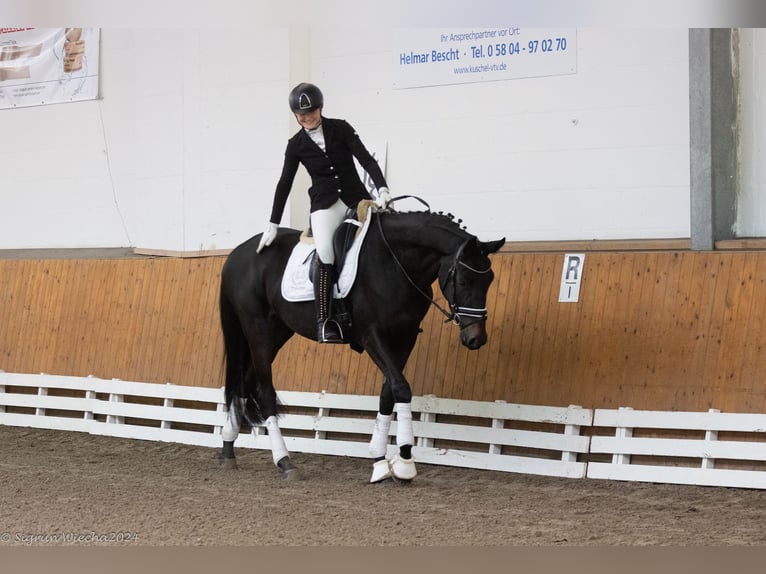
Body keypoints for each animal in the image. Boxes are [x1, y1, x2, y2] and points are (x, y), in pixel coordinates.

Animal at [218, 200, 504, 484]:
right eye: (464, 280)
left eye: (489, 280)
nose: (476, 338)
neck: (394, 263)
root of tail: (238, 253)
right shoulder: (371, 335)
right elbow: (402, 388)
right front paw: (405, 461)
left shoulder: (405, 337)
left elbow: (388, 392)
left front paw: (380, 460)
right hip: (258, 328)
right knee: (264, 391)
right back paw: (285, 462)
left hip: (278, 331)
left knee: (244, 382)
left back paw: (228, 450)